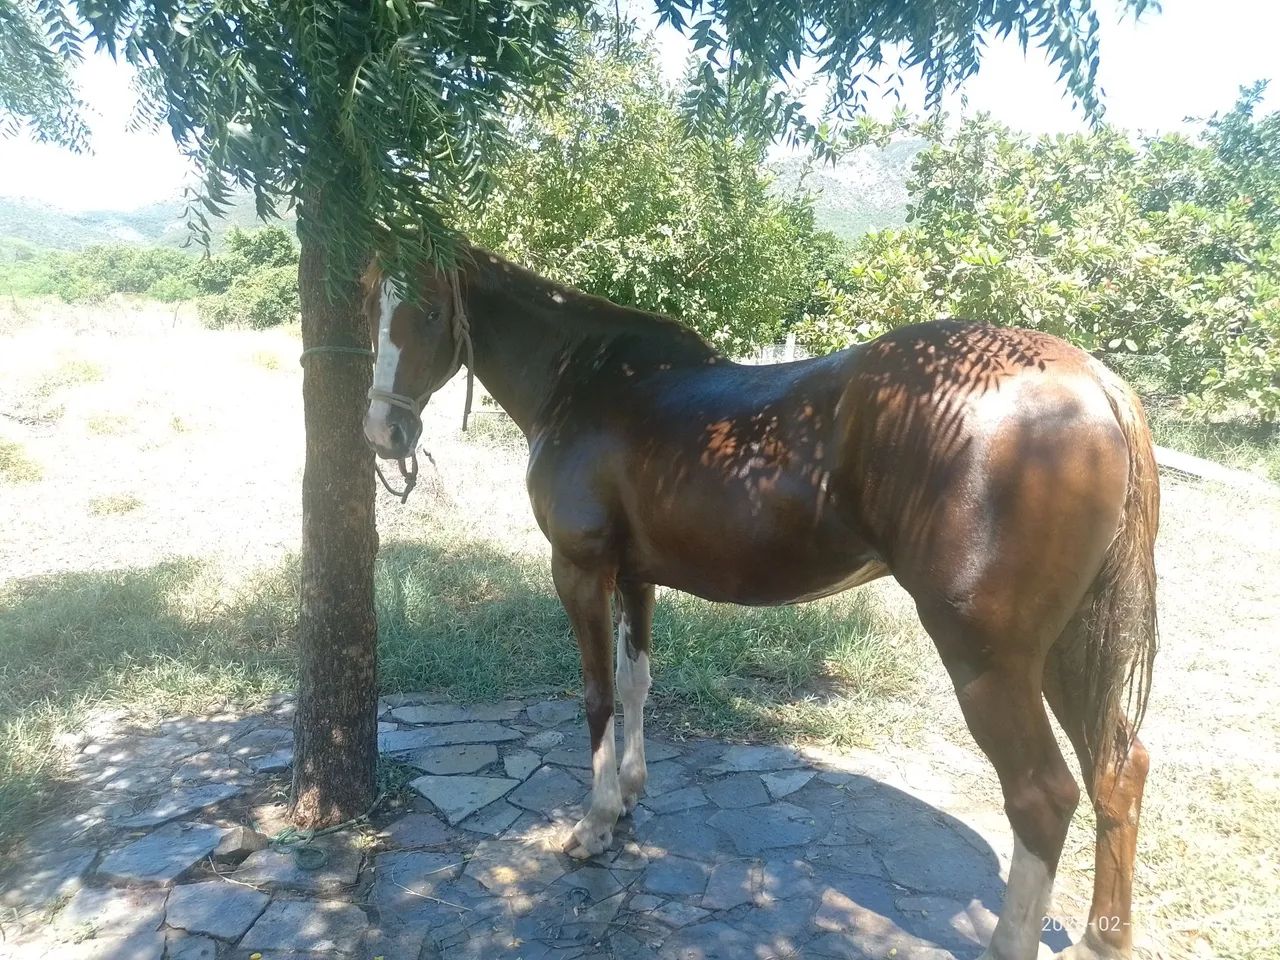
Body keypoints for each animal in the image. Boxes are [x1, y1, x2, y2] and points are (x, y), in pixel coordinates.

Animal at [360, 246, 1158, 960]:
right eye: (371, 303)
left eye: (430, 310)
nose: (383, 432)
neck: (589, 380)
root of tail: (1094, 384)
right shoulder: (635, 578)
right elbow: (635, 682)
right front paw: (630, 792)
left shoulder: (580, 569)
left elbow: (595, 694)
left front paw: (594, 825)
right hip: (1069, 647)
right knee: (1117, 768)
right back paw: (1105, 936)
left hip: (988, 658)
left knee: (1041, 795)